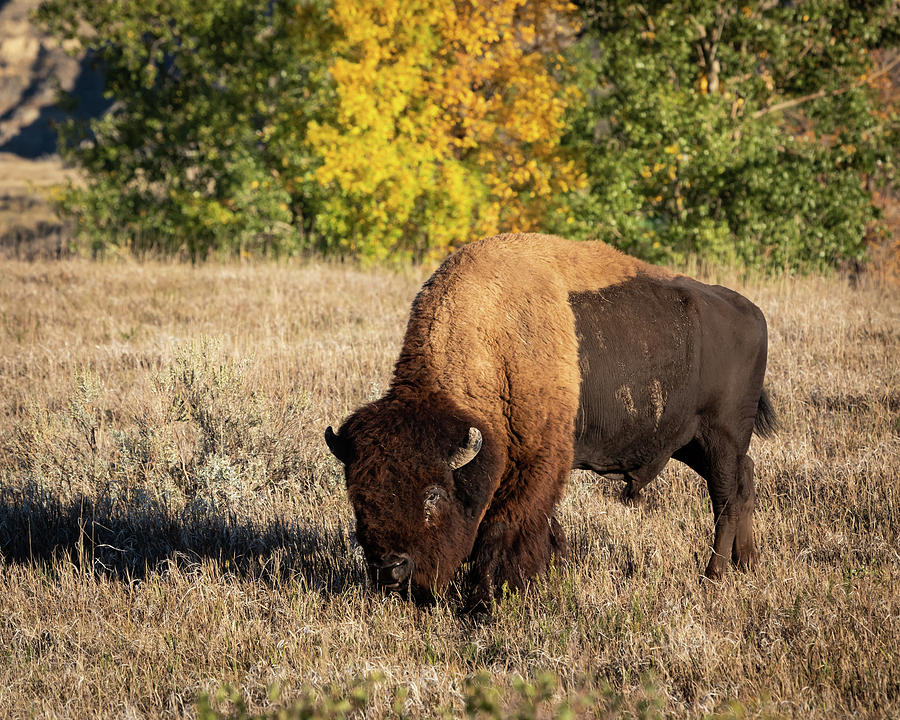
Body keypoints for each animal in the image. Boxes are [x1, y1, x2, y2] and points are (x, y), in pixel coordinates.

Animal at [324, 233, 772, 604]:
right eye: (357, 494)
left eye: (433, 493)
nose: (390, 570)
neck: (493, 343)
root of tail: (752, 313)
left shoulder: (535, 462)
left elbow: (505, 528)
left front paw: (488, 599)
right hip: (691, 443)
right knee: (746, 479)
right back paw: (747, 565)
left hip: (721, 438)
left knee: (726, 498)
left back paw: (713, 575)